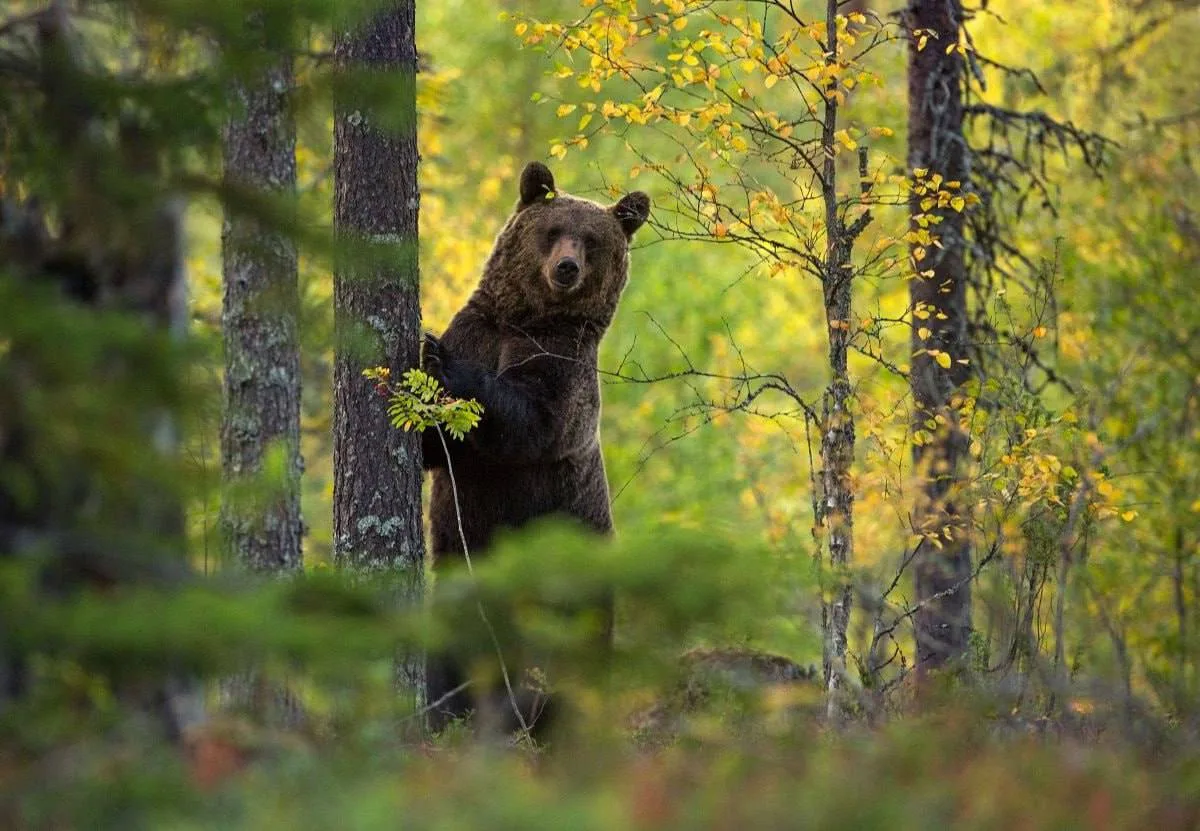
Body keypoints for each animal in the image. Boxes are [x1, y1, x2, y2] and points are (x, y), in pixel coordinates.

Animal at [421, 161, 650, 736]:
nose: (566, 268)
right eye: (553, 230)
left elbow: (531, 421)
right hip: (461, 577)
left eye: (592, 240)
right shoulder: (480, 327)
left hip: (570, 577)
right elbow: (437, 449)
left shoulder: (563, 367)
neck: (525, 320)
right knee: (449, 652)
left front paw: (441, 359)